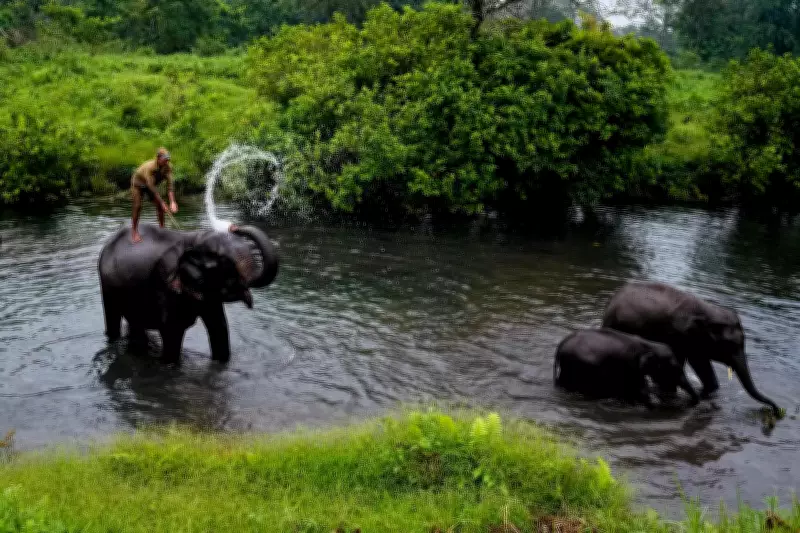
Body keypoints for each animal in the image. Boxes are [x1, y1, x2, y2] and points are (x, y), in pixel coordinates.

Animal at [98, 222, 279, 363]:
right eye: (222, 260)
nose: (235, 227)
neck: (195, 238)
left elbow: (219, 326)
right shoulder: (165, 282)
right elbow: (172, 332)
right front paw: (170, 364)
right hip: (106, 284)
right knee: (113, 318)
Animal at [553, 327, 700, 408]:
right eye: (674, 369)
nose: (692, 403)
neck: (649, 345)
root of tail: (560, 346)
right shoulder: (631, 366)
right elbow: (641, 391)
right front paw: (654, 404)